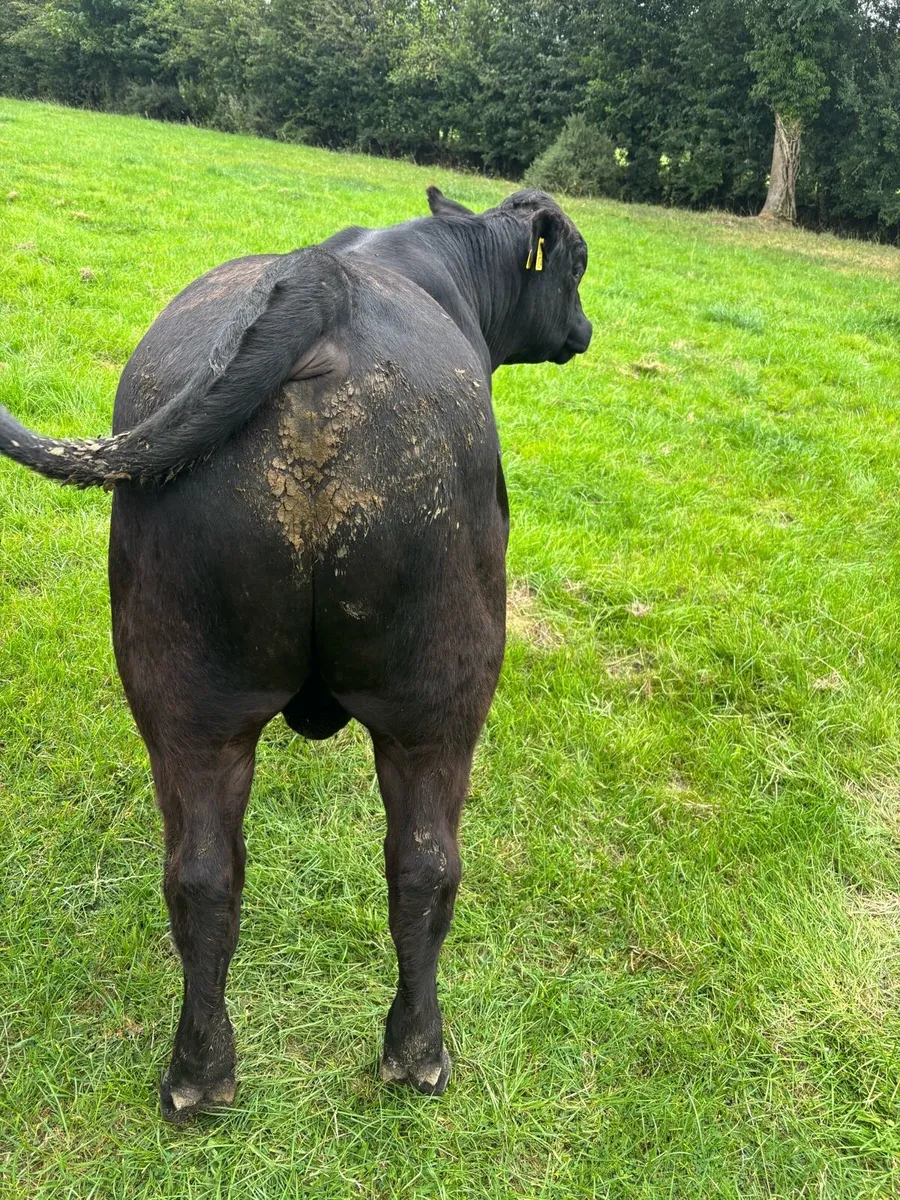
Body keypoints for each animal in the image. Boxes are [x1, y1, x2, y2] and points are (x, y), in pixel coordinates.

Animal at [0, 186, 591, 1120]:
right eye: (579, 266)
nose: (585, 330)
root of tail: (324, 288)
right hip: (446, 691)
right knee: (426, 863)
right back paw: (419, 1054)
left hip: (187, 691)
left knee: (203, 875)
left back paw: (198, 1074)